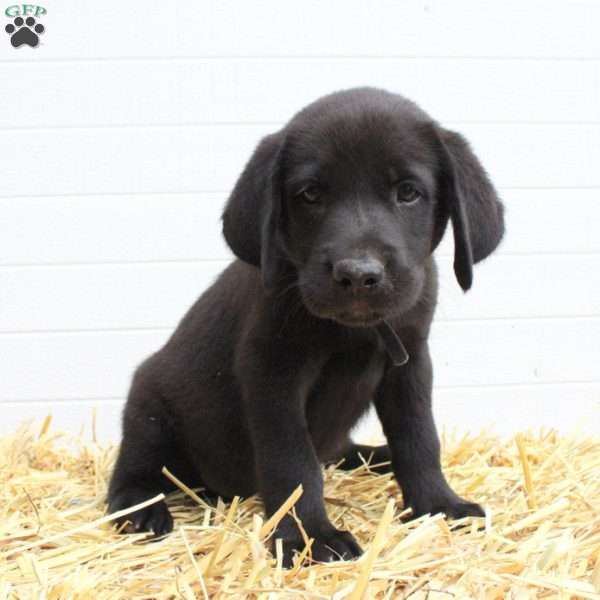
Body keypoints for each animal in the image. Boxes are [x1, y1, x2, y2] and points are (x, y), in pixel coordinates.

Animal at [109, 86, 506, 564]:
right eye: (311, 194)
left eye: (408, 193)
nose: (358, 275)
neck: (356, 332)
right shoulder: (273, 372)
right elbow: (292, 461)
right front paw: (310, 536)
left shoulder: (410, 363)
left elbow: (419, 437)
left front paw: (439, 504)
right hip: (149, 406)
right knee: (134, 468)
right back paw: (140, 510)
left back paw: (377, 455)